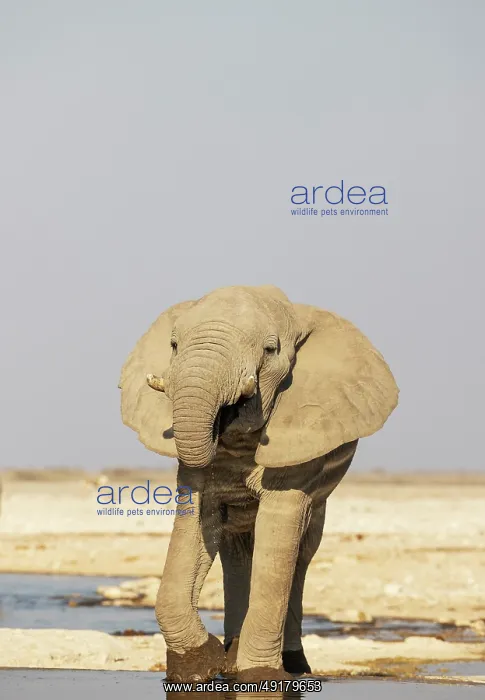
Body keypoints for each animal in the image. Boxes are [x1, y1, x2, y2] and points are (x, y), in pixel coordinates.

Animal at [119, 285, 398, 682]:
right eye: (173, 345)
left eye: (270, 350)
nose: (222, 418)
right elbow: (198, 521)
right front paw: (200, 667)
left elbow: (279, 533)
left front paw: (258, 675)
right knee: (236, 551)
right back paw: (232, 656)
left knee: (301, 553)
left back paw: (292, 665)